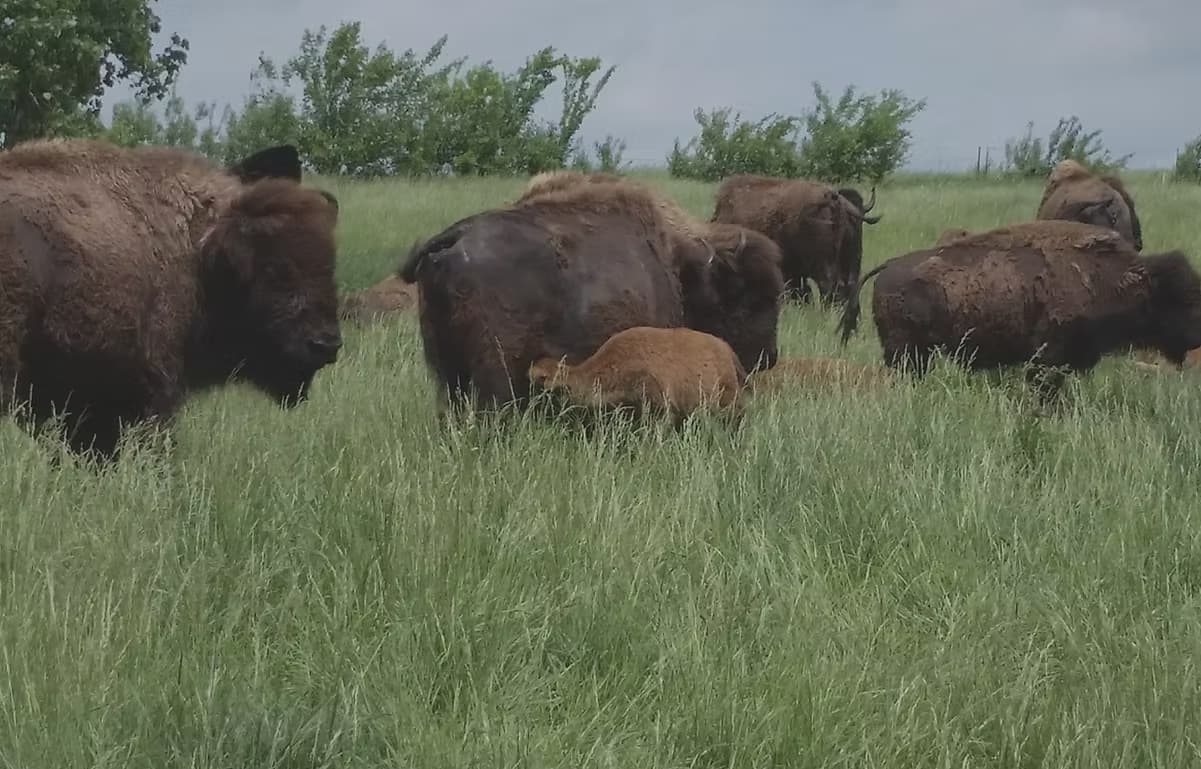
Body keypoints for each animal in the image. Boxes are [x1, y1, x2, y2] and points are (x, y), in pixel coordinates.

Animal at [400, 176, 784, 412]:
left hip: (446, 375)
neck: (680, 262)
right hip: (494, 374)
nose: (768, 357)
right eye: (749, 299)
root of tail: (454, 239)